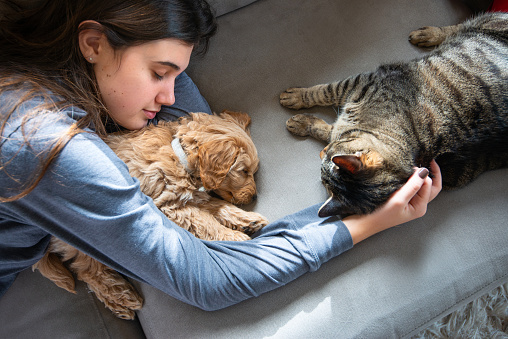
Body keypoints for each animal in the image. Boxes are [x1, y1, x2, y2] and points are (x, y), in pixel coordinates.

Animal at [280, 12, 506, 218]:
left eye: (326, 162)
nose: (323, 151)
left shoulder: (362, 82)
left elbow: (326, 94)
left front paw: (300, 110)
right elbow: (329, 112)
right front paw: (301, 111)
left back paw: (431, 34)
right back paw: (428, 34)